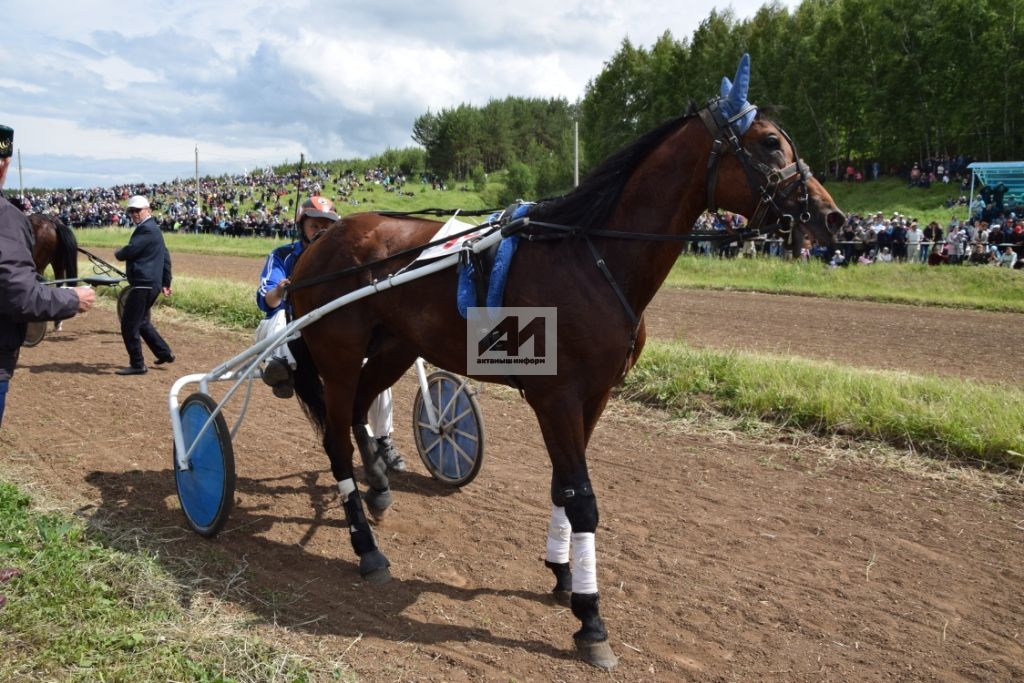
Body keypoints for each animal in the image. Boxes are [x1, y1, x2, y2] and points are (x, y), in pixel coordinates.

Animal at [286, 54, 839, 671]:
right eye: (770, 143)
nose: (833, 218)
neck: (591, 256)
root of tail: (320, 244)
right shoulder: (556, 397)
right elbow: (583, 500)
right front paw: (591, 619)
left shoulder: (594, 394)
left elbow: (561, 489)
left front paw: (562, 573)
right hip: (337, 354)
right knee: (335, 437)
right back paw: (366, 547)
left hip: (395, 347)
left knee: (361, 410)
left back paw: (379, 488)